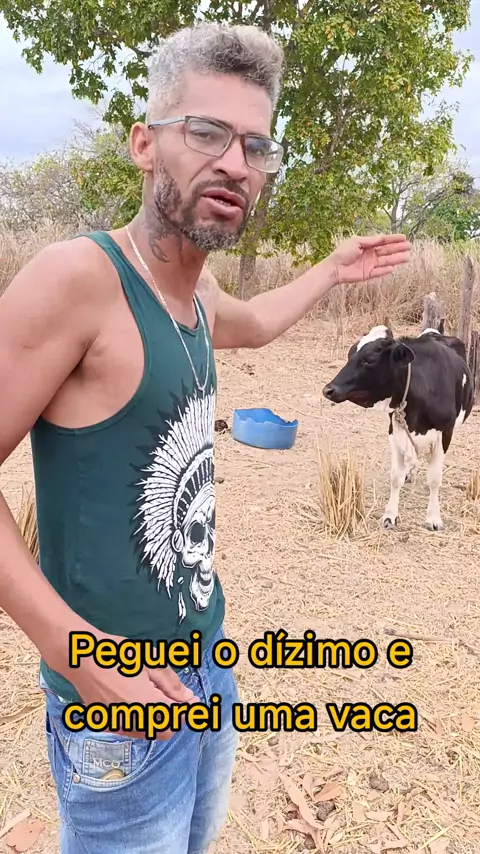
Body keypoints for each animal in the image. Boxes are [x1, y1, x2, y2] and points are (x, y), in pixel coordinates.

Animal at [322, 324, 474, 532]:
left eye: (369, 360)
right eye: (350, 355)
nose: (328, 390)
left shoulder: (445, 433)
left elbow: (435, 478)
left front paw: (434, 518)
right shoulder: (394, 431)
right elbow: (396, 477)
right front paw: (390, 516)